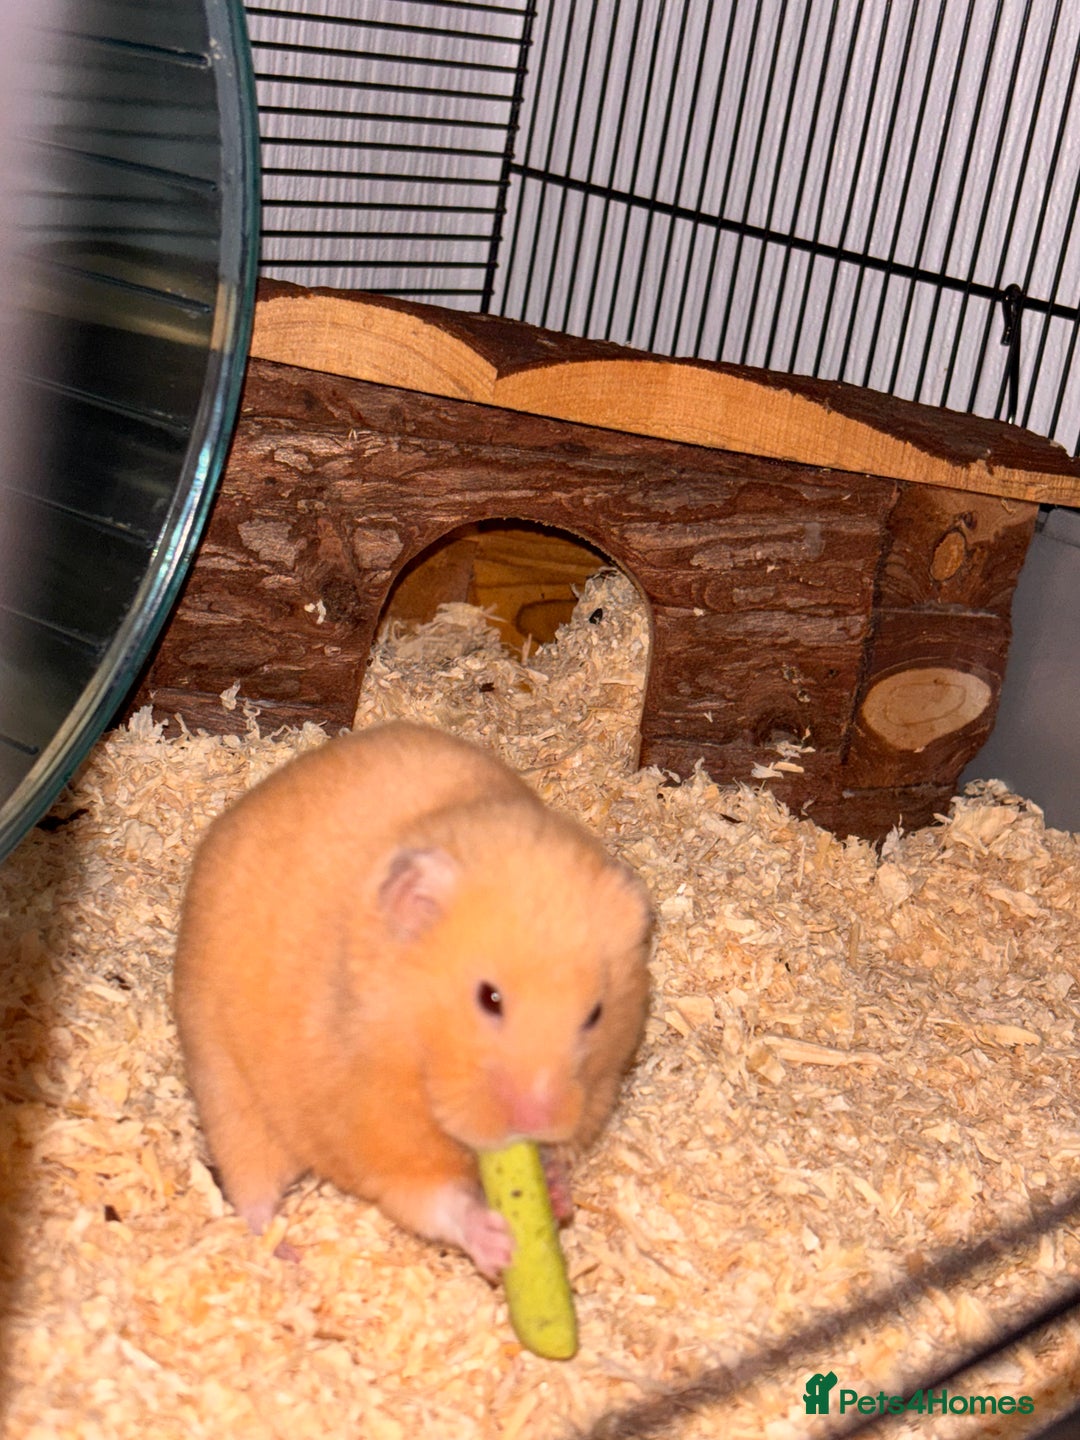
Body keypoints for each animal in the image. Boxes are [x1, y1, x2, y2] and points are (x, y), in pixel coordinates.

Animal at [172, 719, 652, 1277]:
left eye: (595, 1014)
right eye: (489, 998)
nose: (536, 1119)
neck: (415, 1059)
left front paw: (555, 1192)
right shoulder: (380, 1147)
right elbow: (437, 1202)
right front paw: (499, 1244)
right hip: (226, 1087)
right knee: (251, 1191)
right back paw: (287, 1254)